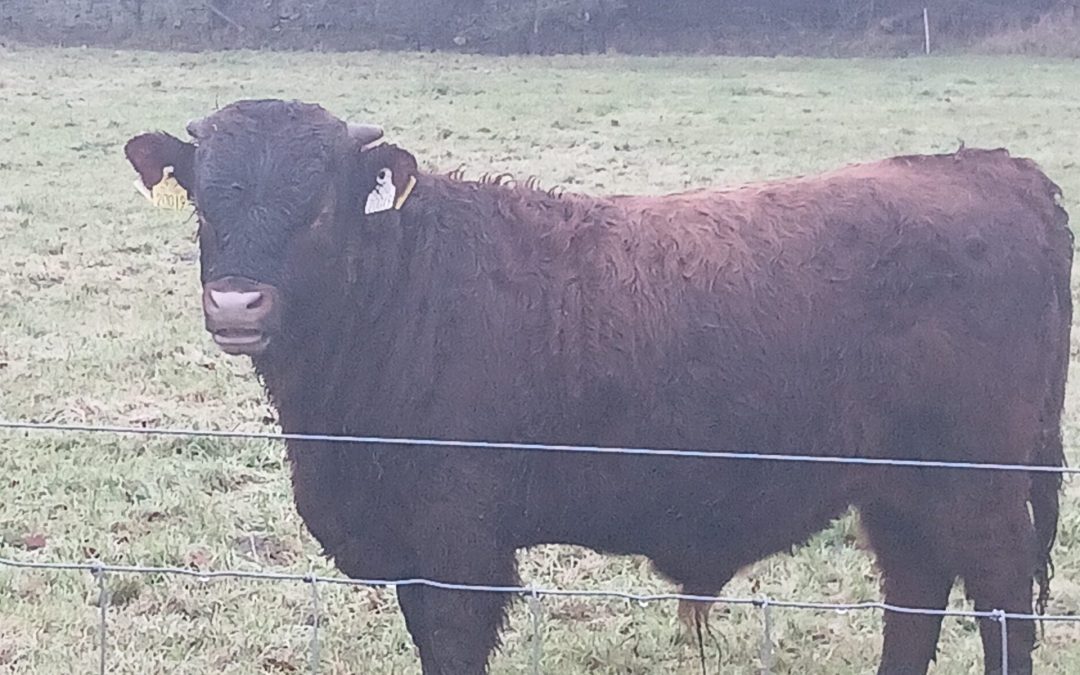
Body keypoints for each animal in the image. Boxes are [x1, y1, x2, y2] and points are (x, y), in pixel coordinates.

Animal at [124, 98, 1072, 675]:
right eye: (204, 203)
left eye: (319, 205)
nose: (236, 302)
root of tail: (988, 167)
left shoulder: (460, 549)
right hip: (900, 489)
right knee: (914, 593)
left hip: (981, 492)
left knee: (1001, 606)